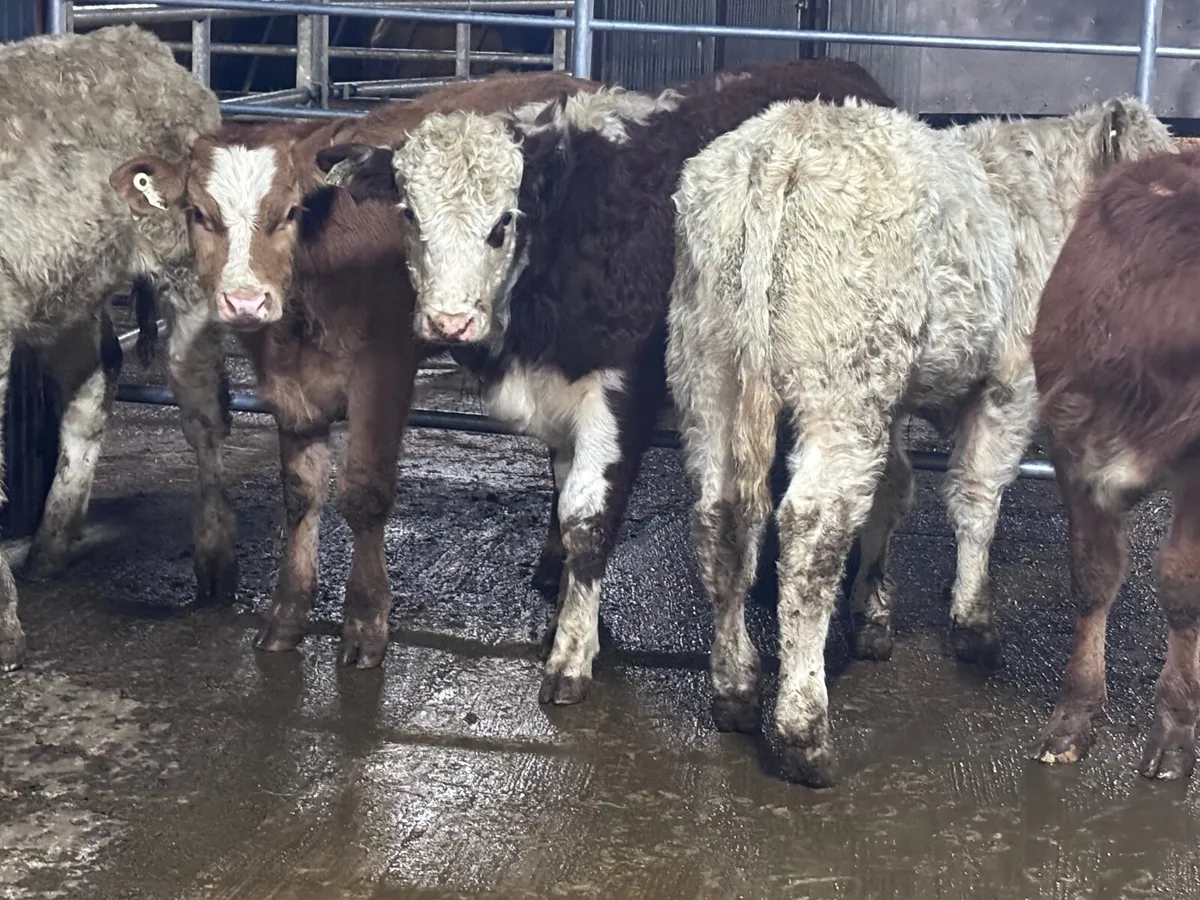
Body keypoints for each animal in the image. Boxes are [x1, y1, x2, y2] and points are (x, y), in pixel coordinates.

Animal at [0, 25, 220, 671]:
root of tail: (138, 40)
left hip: (186, 273)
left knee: (204, 410)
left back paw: (216, 567)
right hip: (67, 288)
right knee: (94, 384)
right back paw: (49, 547)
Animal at [109, 70, 595, 668]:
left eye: (289, 212)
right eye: (199, 215)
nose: (245, 301)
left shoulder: (383, 371)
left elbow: (364, 493)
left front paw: (365, 622)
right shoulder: (286, 382)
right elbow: (300, 493)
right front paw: (287, 614)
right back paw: (551, 562)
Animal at [320, 59, 895, 704]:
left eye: (502, 223)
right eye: (410, 214)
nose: (449, 321)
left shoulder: (620, 393)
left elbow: (587, 518)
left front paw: (571, 653)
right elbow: (564, 497)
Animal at [665, 95, 1175, 786]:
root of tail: (785, 139)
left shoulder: (899, 400)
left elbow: (895, 489)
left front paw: (875, 612)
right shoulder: (1011, 384)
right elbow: (976, 496)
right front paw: (973, 621)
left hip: (708, 374)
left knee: (720, 521)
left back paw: (736, 688)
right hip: (843, 387)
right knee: (810, 532)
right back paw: (805, 733)